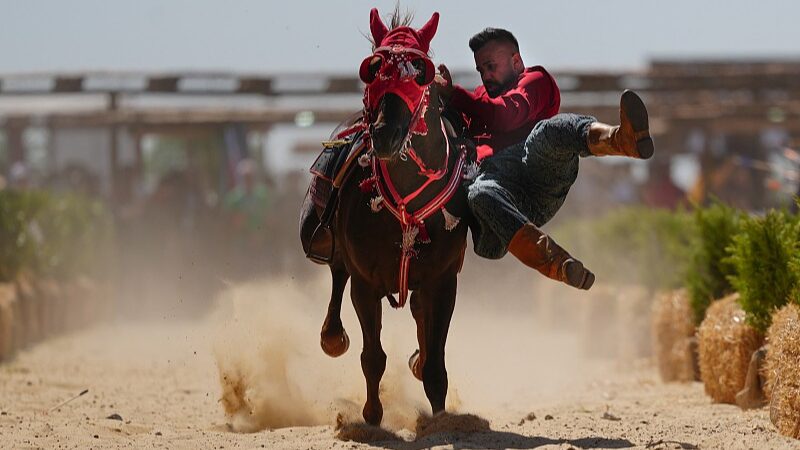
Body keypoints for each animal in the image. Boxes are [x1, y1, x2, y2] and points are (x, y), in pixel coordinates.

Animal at [299, 8, 470, 426]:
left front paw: (439, 417)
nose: (385, 133)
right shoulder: (365, 283)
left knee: (420, 319)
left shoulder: (443, 280)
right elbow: (373, 357)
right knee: (337, 274)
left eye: (419, 72)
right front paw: (372, 416)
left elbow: (435, 362)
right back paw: (332, 335)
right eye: (374, 69)